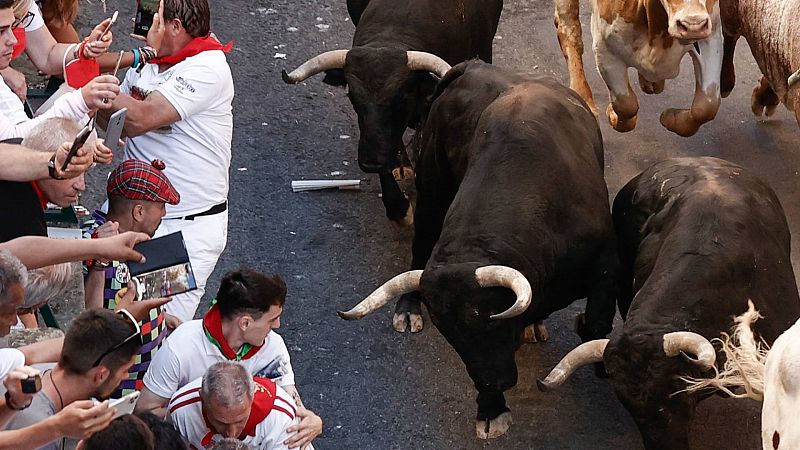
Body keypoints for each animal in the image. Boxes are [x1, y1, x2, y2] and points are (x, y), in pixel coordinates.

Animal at [338, 61, 620, 438]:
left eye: (489, 319)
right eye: (450, 334)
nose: (494, 382)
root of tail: (475, 66)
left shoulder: (606, 267)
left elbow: (595, 325)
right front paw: (491, 409)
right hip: (433, 189)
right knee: (421, 242)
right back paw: (408, 309)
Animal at [556, 0, 724, 135]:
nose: (693, 25)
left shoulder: (712, 34)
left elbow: (706, 106)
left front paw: (672, 119)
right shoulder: (605, 47)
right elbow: (626, 104)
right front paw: (613, 115)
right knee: (569, 28)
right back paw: (583, 100)